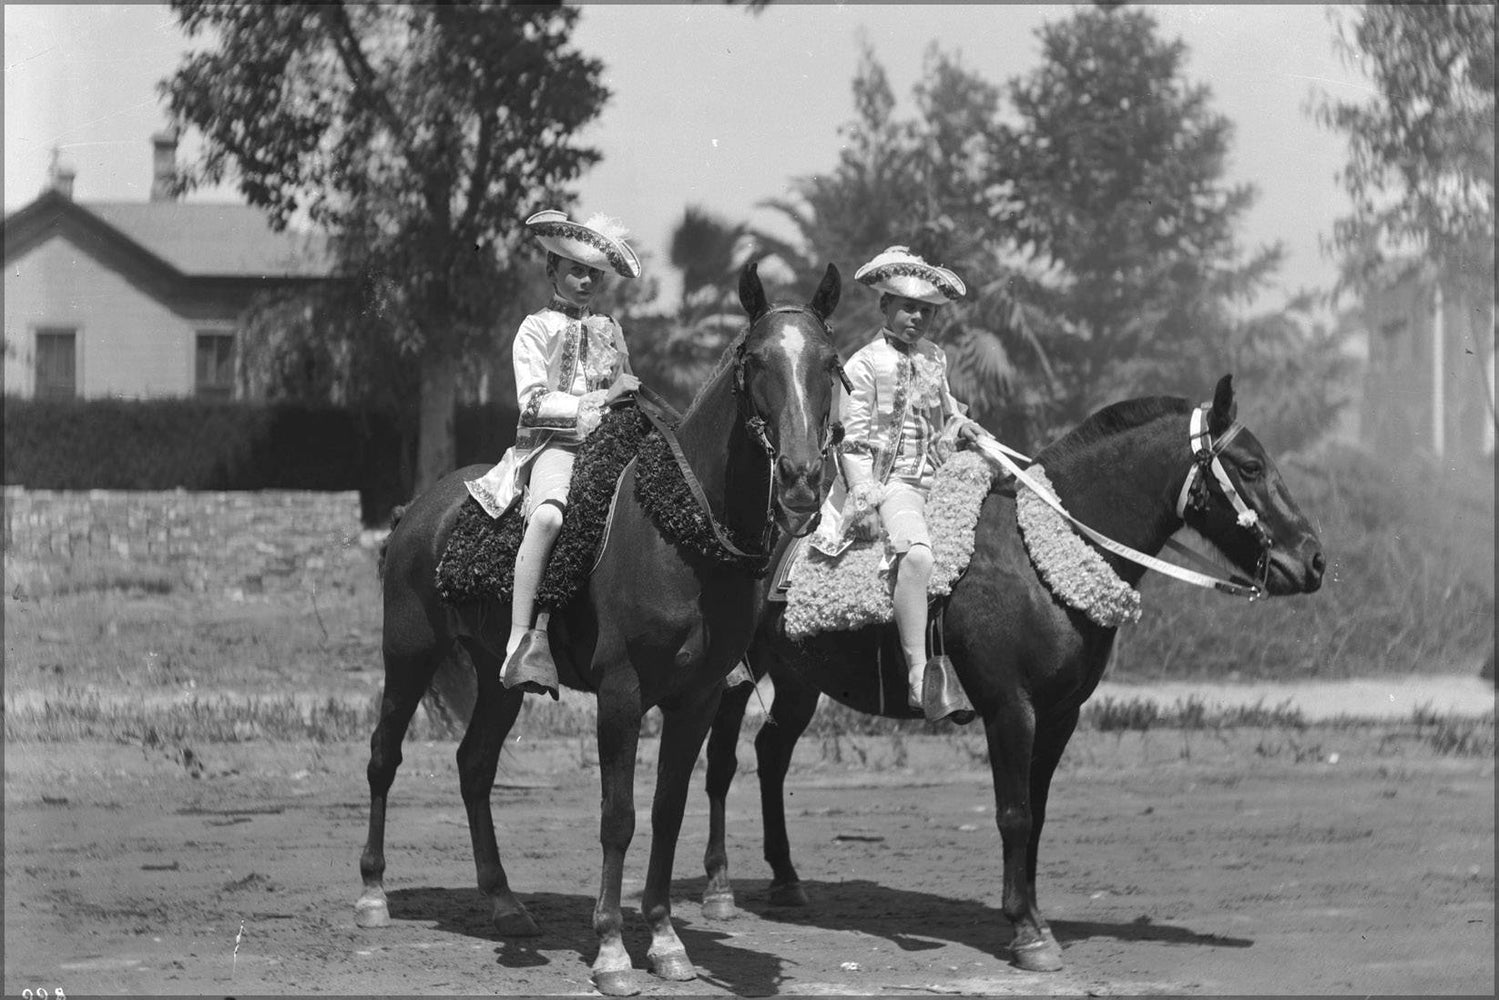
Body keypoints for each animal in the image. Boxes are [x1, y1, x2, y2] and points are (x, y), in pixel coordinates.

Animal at [350, 262, 845, 995]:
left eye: (830, 362)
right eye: (754, 360)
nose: (802, 478)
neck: (681, 533)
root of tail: (417, 510)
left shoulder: (698, 698)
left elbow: (667, 810)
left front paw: (666, 941)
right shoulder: (620, 693)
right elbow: (618, 818)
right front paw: (612, 949)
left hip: (497, 680)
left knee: (474, 766)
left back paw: (504, 902)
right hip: (408, 653)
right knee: (384, 755)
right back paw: (373, 893)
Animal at [689, 373, 1325, 971]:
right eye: (1250, 466)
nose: (1314, 559)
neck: (1033, 560)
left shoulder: (1061, 713)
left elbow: (1036, 814)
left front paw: (1027, 911)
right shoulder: (1009, 707)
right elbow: (1014, 814)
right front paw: (1027, 932)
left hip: (800, 680)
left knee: (771, 756)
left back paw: (786, 879)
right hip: (739, 675)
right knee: (722, 762)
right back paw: (719, 886)